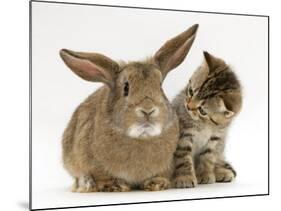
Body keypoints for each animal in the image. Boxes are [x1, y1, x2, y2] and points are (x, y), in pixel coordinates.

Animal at [59, 23, 198, 192]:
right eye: (126, 88)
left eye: (160, 87)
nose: (148, 110)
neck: (141, 138)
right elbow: (100, 177)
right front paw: (115, 185)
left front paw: (157, 183)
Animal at [172, 51, 242, 188]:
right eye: (191, 91)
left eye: (202, 111)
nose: (188, 107)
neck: (205, 124)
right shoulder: (184, 134)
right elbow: (183, 156)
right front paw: (185, 177)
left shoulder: (216, 138)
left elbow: (208, 157)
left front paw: (205, 174)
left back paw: (221, 171)